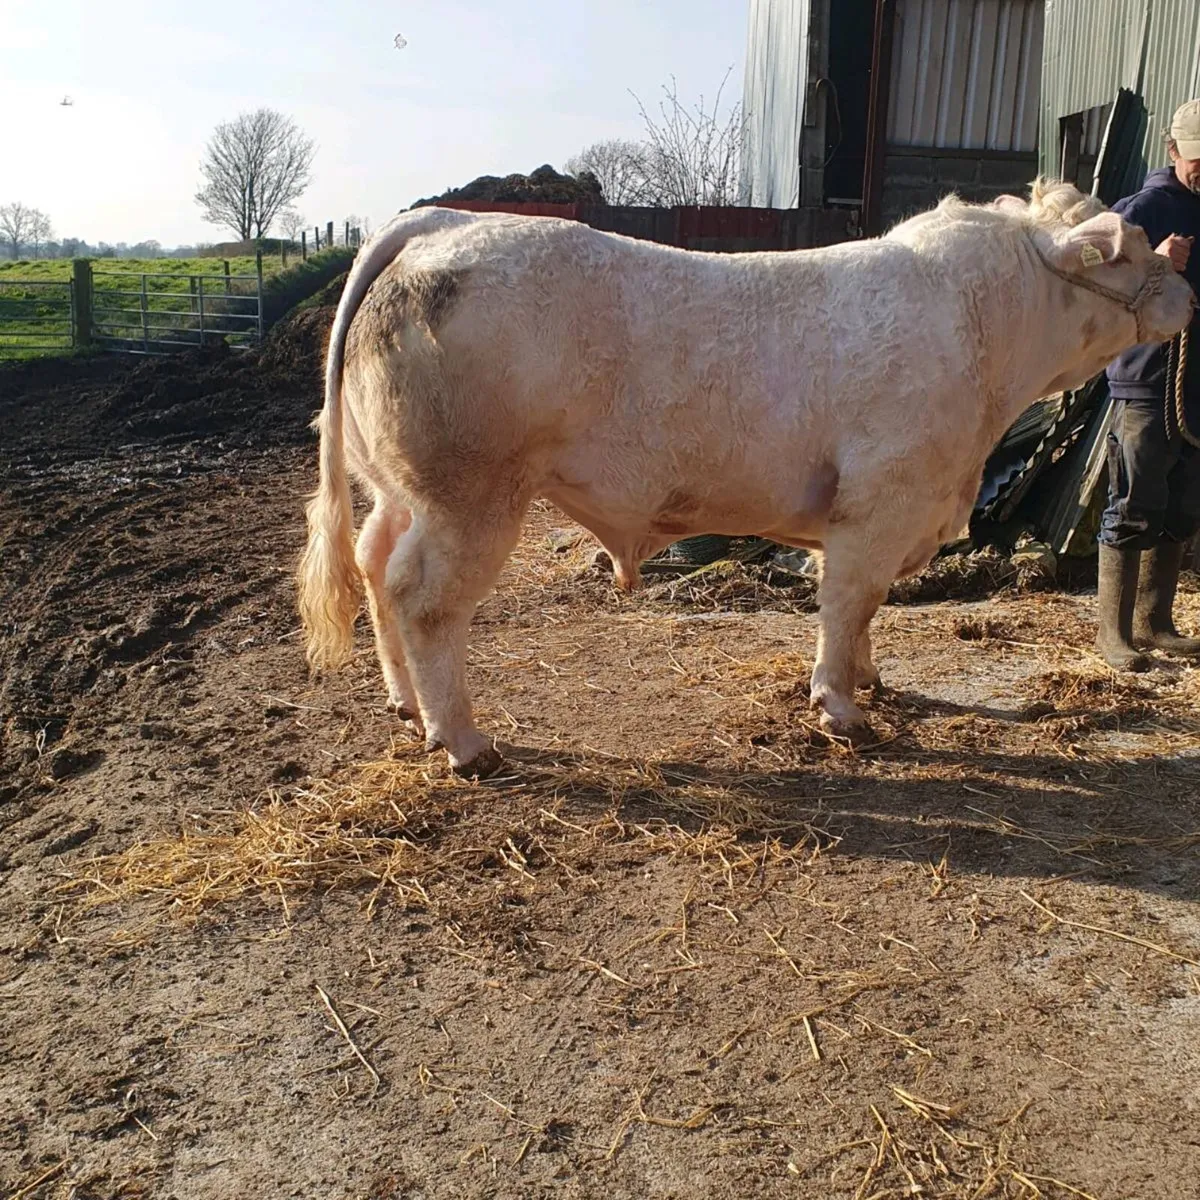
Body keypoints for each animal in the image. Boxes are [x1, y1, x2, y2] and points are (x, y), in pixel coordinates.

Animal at [297, 181, 1194, 777]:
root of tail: (440, 222)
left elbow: (867, 610)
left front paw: (871, 678)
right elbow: (849, 600)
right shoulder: (881, 502)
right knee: (423, 597)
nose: (1188, 288)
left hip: (402, 488)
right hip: (470, 496)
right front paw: (840, 706)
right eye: (1128, 248)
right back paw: (464, 742)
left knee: (375, 565)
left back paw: (405, 703)